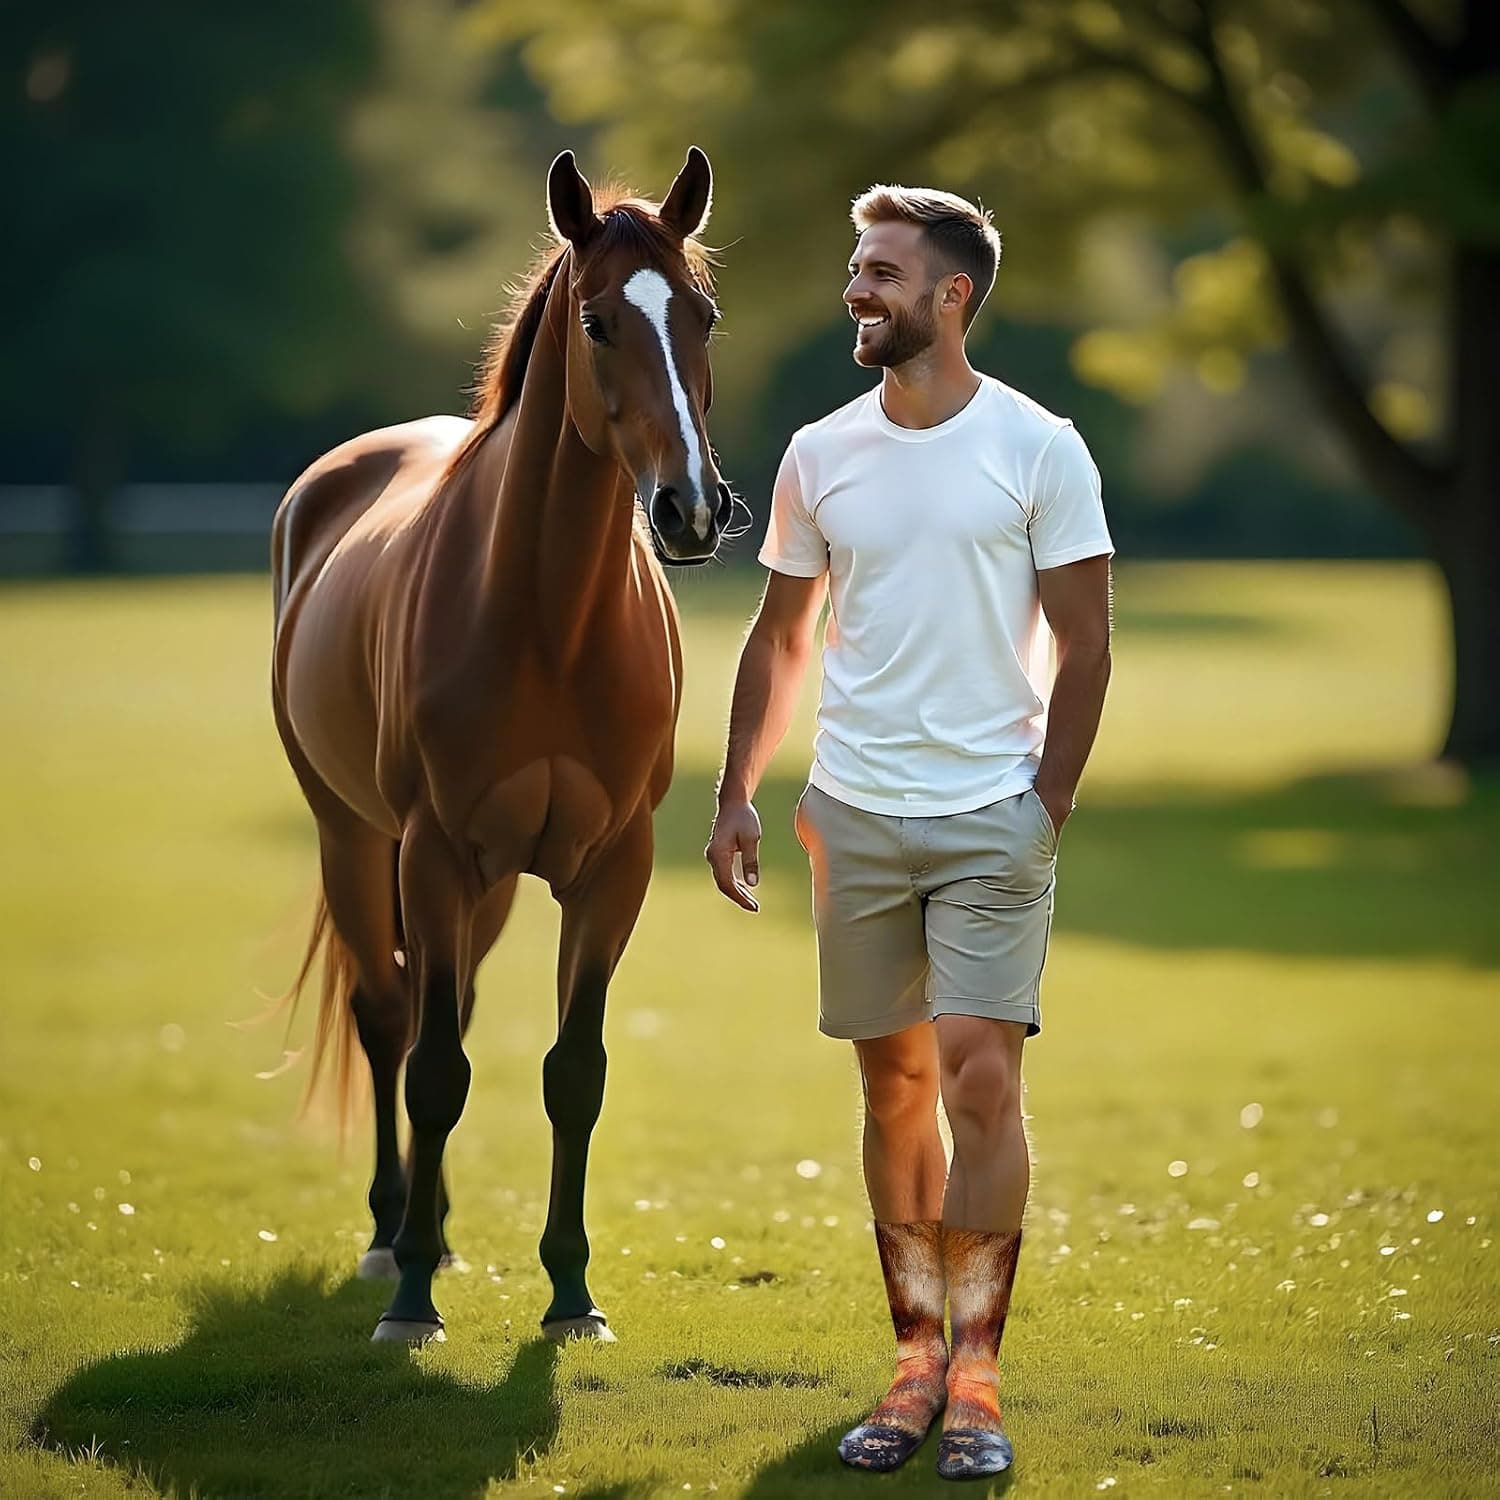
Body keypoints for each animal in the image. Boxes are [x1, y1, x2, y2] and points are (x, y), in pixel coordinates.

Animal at [268, 147, 732, 1345]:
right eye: (599, 319)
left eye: (704, 314)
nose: (692, 510)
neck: (549, 621)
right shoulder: (432, 852)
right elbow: (433, 1069)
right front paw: (414, 1301)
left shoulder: (609, 871)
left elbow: (575, 1072)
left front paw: (571, 1294)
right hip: (357, 843)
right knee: (389, 1018)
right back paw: (395, 1237)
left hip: (487, 888)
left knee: (452, 1006)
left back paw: (436, 1228)